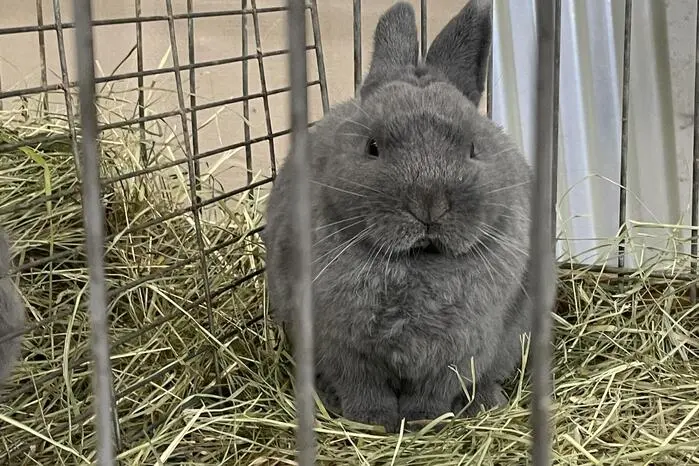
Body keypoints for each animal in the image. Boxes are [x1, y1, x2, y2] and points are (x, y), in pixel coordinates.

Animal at [264, 0, 556, 433]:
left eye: (474, 148)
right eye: (372, 147)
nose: (429, 203)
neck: (418, 261)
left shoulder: (459, 351)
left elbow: (433, 391)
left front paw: (422, 421)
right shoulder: (342, 347)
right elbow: (363, 388)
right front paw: (373, 422)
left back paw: (485, 403)